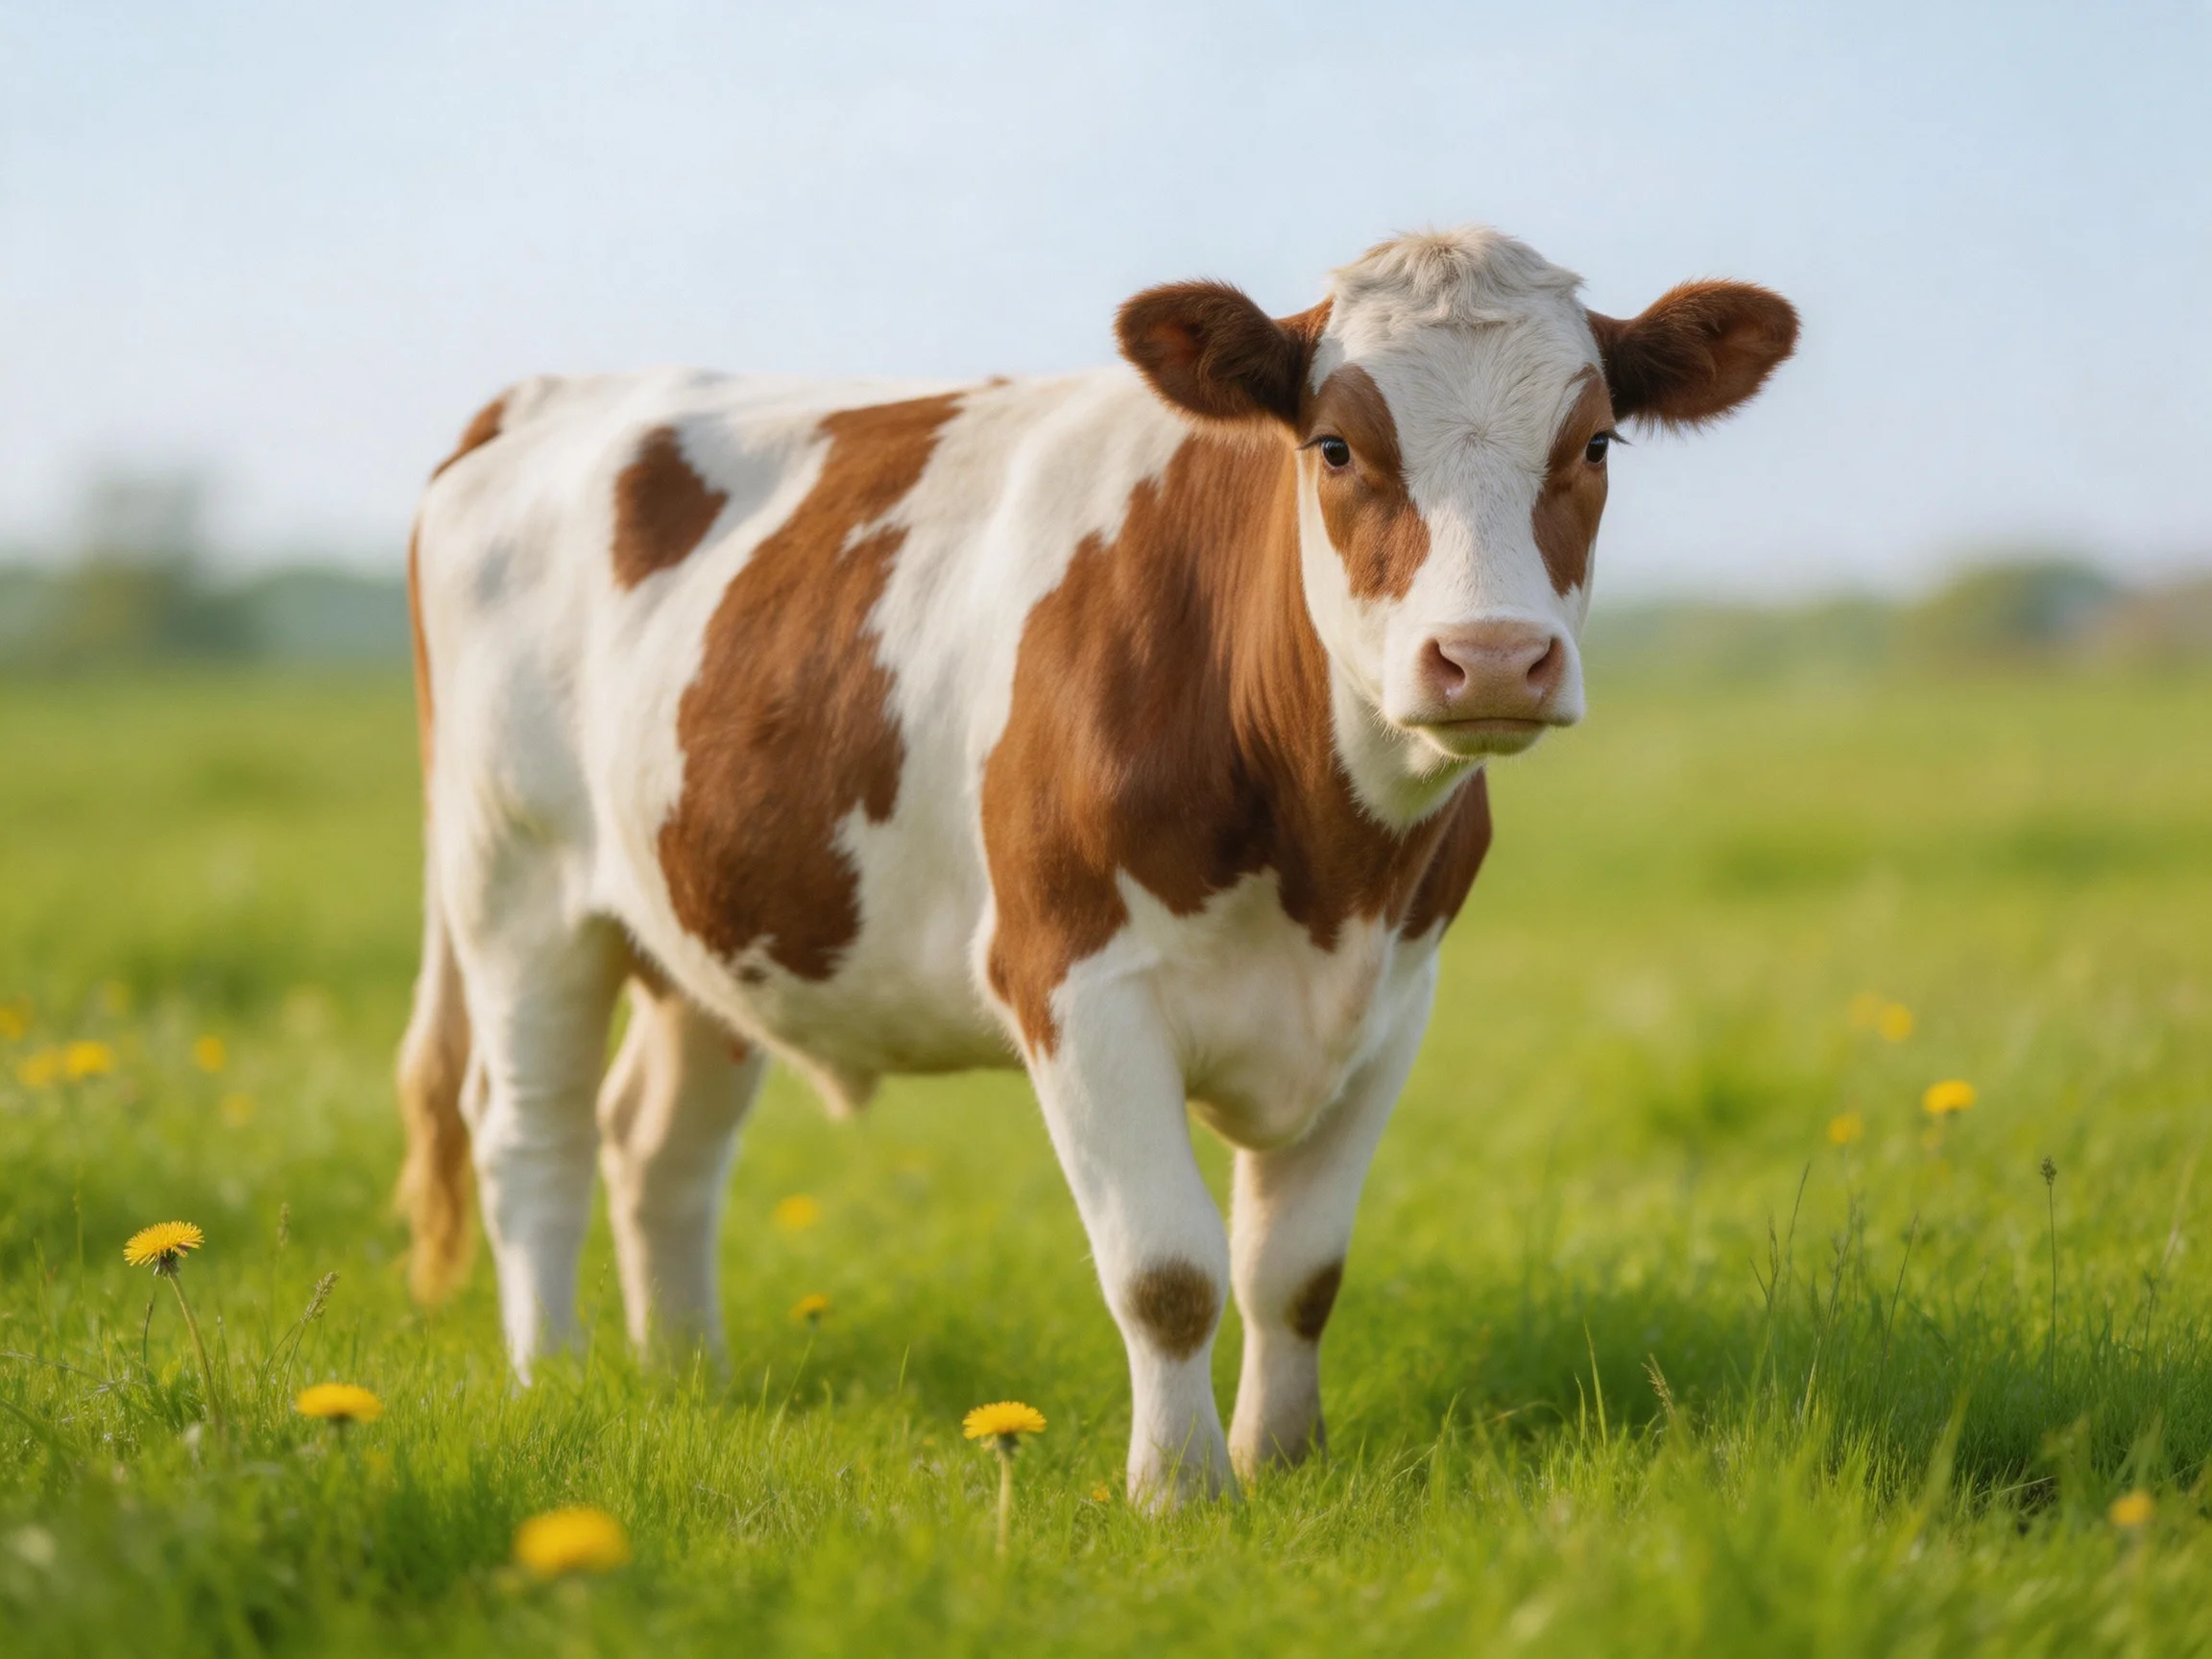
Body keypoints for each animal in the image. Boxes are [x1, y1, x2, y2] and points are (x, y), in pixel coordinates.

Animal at [397, 226, 1795, 1504]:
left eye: (1596, 443)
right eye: (1336, 447)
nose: (1493, 657)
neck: (1327, 868)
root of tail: (555, 395)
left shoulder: (1394, 1002)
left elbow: (1297, 1270)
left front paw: (1282, 1464)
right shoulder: (1073, 981)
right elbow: (1167, 1272)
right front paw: (1180, 1492)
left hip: (709, 915)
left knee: (657, 1148)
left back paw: (690, 1380)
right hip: (515, 886)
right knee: (530, 1136)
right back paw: (554, 1379)